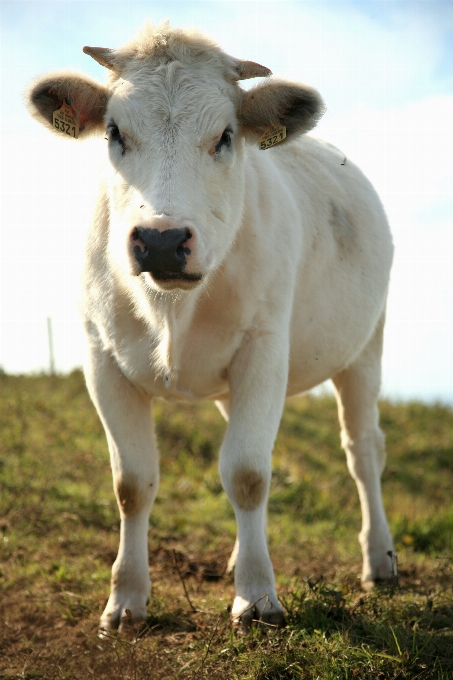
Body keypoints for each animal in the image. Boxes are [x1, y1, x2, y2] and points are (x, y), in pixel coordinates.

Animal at [26, 23, 394, 636]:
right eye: (114, 132)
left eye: (225, 136)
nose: (162, 240)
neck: (172, 309)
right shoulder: (100, 357)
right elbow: (132, 484)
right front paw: (125, 601)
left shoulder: (264, 350)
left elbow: (247, 474)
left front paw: (257, 597)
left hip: (365, 347)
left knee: (362, 451)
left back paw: (380, 560)